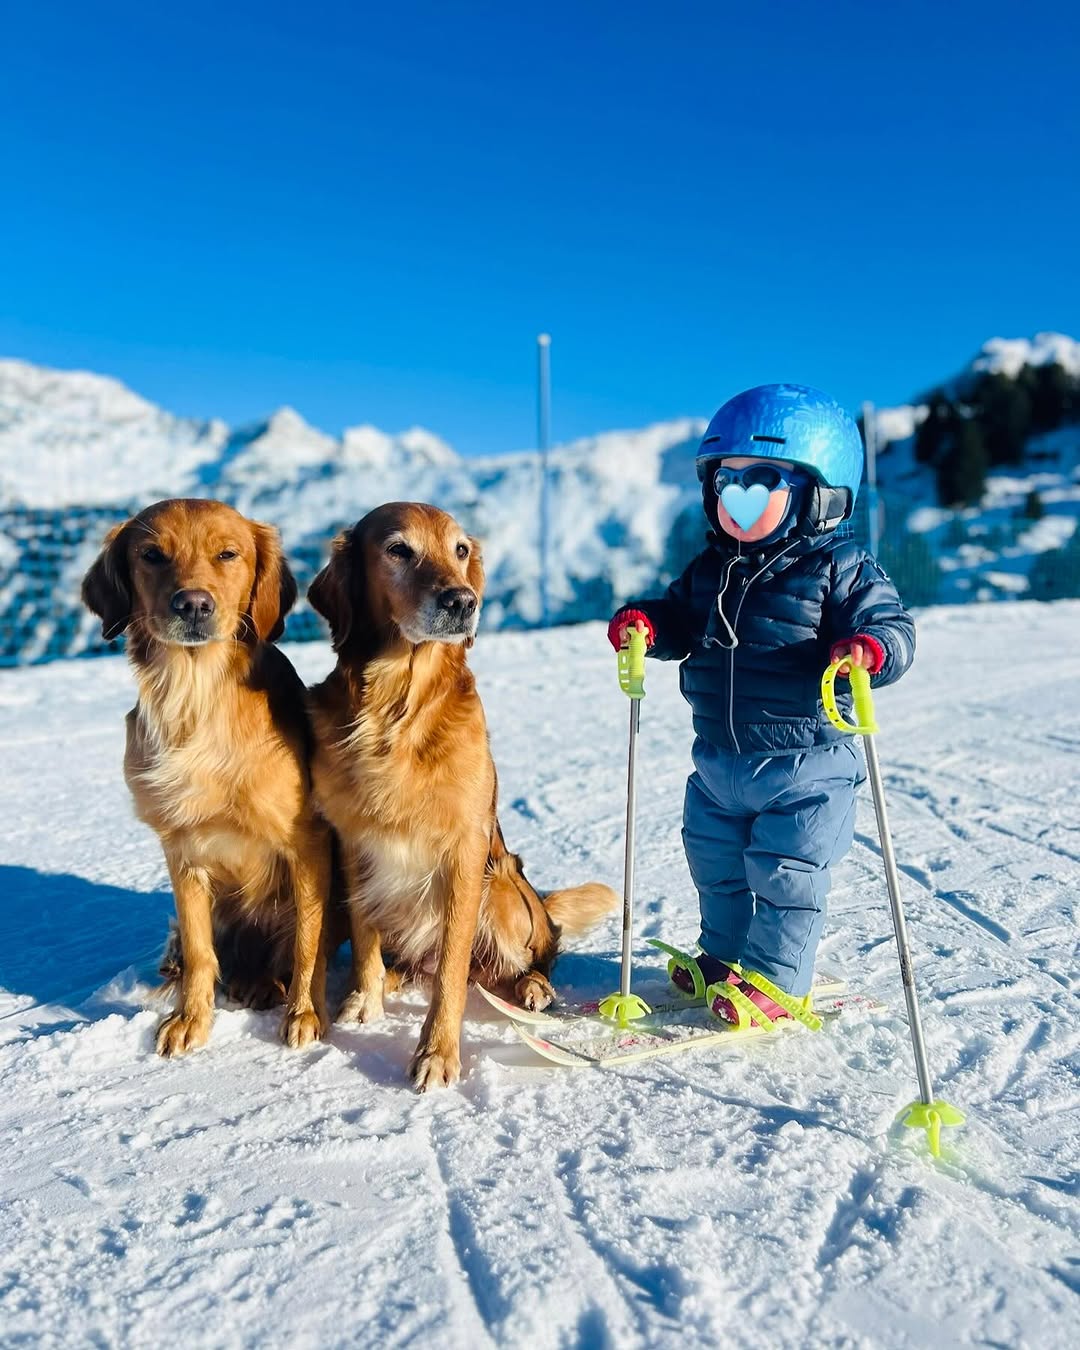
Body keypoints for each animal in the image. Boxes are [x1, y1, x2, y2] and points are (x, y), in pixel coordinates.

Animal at [81, 496, 329, 1053]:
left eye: (228, 554)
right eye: (152, 555)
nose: (192, 604)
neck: (194, 694)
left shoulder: (306, 843)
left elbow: (309, 941)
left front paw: (305, 1014)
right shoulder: (182, 848)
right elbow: (199, 950)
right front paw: (191, 1020)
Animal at [307, 502, 621, 1090]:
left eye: (459, 550)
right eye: (398, 549)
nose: (462, 601)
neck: (397, 706)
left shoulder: (465, 850)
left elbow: (452, 965)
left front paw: (437, 1053)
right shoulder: (354, 840)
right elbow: (363, 932)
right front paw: (363, 1000)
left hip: (501, 886)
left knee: (526, 959)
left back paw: (532, 988)